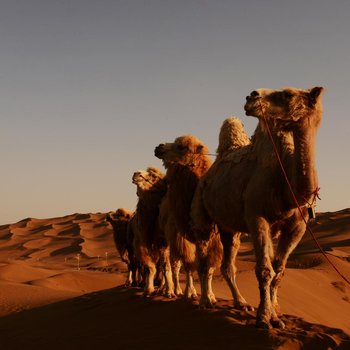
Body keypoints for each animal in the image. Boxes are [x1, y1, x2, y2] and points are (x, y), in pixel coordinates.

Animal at [129, 165, 174, 296]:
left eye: (153, 176)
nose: (136, 174)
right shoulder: (143, 242)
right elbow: (150, 267)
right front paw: (148, 289)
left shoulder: (163, 242)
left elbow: (165, 265)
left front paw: (169, 291)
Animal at [154, 135, 221, 300]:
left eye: (181, 147)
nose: (159, 147)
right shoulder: (184, 239)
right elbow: (190, 266)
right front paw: (190, 293)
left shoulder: (215, 240)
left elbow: (209, 268)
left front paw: (210, 295)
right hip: (166, 238)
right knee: (170, 264)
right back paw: (171, 290)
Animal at [191, 85, 322, 328]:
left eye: (288, 94)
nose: (252, 96)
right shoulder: (256, 217)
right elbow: (264, 270)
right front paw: (263, 317)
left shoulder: (297, 226)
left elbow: (278, 270)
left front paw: (276, 315)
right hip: (202, 217)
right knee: (204, 260)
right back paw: (205, 301)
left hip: (229, 229)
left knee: (228, 264)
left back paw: (241, 302)